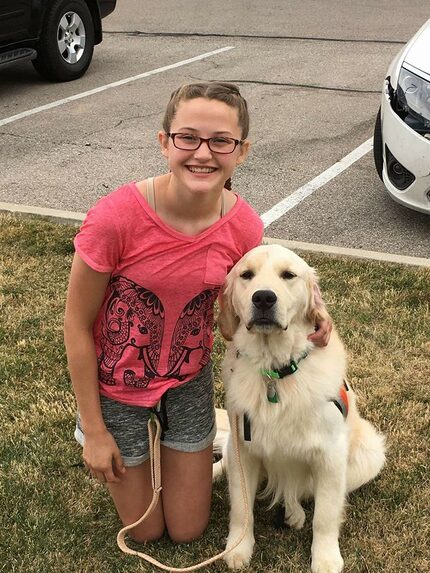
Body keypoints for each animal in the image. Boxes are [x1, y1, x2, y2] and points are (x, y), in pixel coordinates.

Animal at [215, 245, 386, 572]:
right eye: (247, 275)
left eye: (288, 275)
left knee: (299, 491)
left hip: (370, 454)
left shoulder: (330, 455)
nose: (264, 298)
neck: (275, 373)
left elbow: (325, 516)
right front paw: (239, 546)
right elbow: (241, 507)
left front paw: (326, 558)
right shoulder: (243, 449)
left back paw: (294, 513)